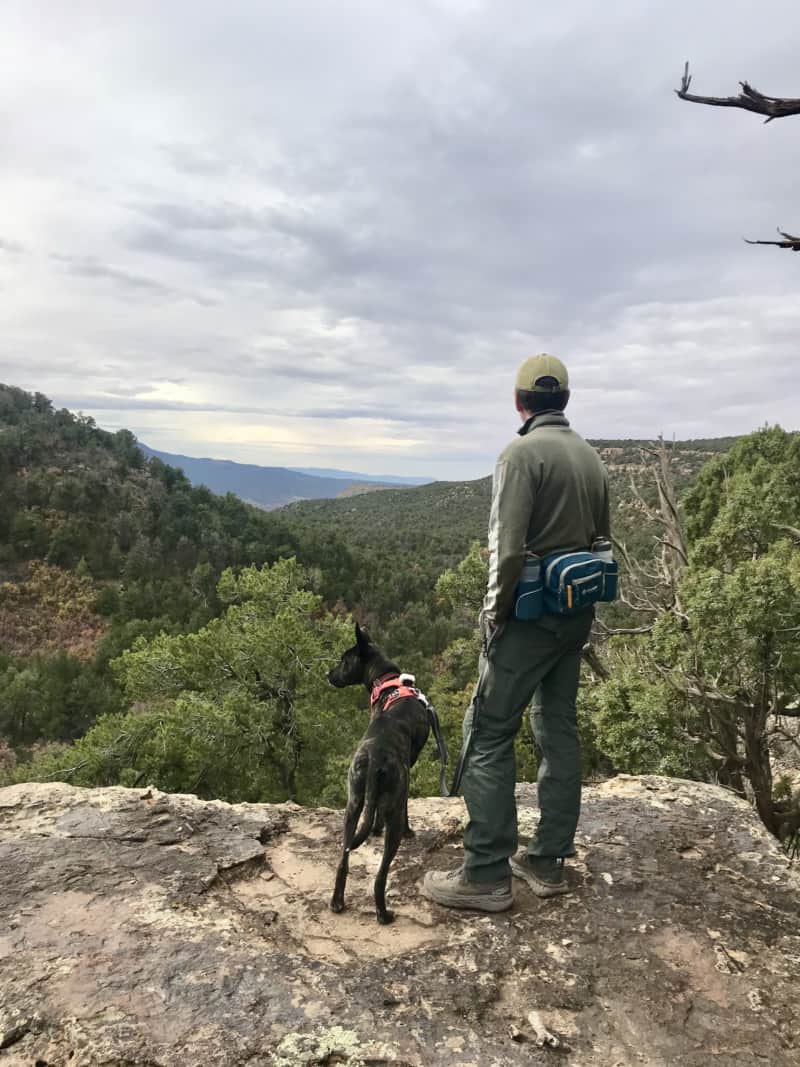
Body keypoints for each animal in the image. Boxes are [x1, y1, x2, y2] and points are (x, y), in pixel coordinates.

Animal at [326, 623, 433, 926]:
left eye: (344, 660)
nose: (328, 675)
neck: (389, 683)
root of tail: (375, 758)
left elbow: (372, 818)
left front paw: (374, 828)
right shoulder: (408, 772)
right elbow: (407, 806)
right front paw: (408, 830)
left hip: (352, 804)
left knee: (343, 858)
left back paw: (337, 901)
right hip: (392, 810)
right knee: (380, 876)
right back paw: (383, 913)